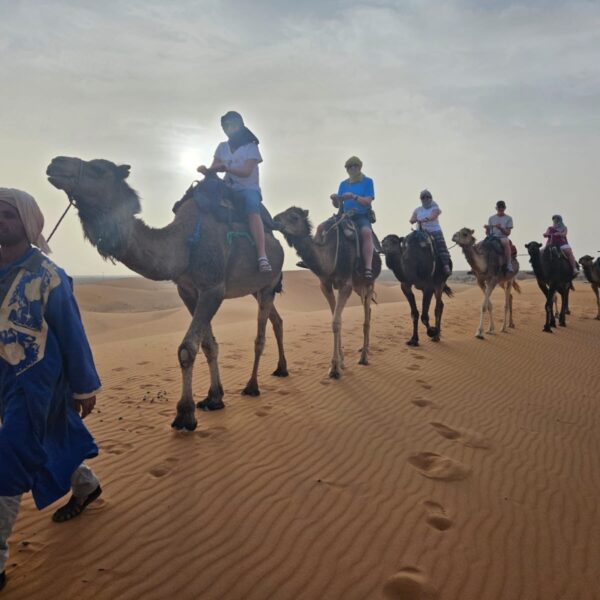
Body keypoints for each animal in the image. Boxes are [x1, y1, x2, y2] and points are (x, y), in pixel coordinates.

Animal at [45, 156, 290, 432]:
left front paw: (185, 414)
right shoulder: (188, 291)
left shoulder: (213, 288)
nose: (56, 162)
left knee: (260, 336)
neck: (184, 244)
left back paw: (252, 386)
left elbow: (187, 348)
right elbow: (208, 345)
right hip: (255, 290)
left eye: (98, 169)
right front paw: (214, 398)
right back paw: (281, 369)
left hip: (268, 284)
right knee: (277, 320)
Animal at [272, 206, 380, 376]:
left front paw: (335, 368)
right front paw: (341, 362)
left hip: (369, 283)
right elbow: (335, 318)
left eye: (294, 216)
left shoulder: (345, 285)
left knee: (366, 317)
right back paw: (365, 349)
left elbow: (336, 322)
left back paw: (364, 357)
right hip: (358, 286)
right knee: (368, 310)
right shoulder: (325, 285)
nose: (275, 219)